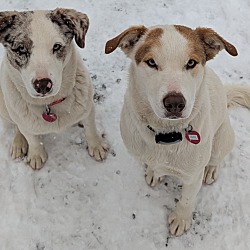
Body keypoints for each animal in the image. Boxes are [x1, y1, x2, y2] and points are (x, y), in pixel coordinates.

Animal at [0, 9, 108, 170]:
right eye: (21, 48)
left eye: (56, 46)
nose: (43, 84)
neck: (50, 104)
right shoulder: (24, 123)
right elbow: (31, 138)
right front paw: (36, 155)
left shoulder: (88, 108)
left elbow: (90, 128)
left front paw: (96, 146)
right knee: (18, 125)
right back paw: (19, 143)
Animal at [105, 25, 250, 236]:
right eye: (151, 62)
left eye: (191, 63)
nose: (175, 103)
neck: (165, 134)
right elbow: (153, 166)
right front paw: (154, 172)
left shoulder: (192, 176)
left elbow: (187, 200)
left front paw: (181, 218)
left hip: (222, 138)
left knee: (216, 158)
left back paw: (211, 169)